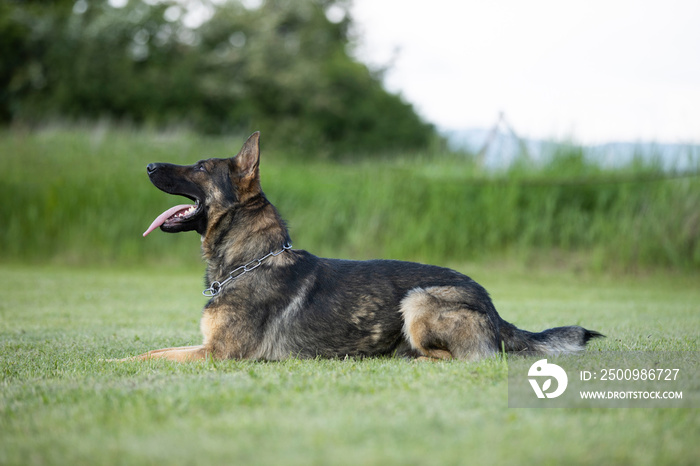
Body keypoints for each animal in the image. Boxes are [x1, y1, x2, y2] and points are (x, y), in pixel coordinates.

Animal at [124, 133, 600, 362]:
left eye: (200, 167)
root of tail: (495, 309)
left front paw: (112, 367)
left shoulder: (218, 355)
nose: (146, 165)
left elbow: (147, 357)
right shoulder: (207, 349)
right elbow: (151, 351)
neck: (251, 260)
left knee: (461, 359)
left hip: (418, 299)